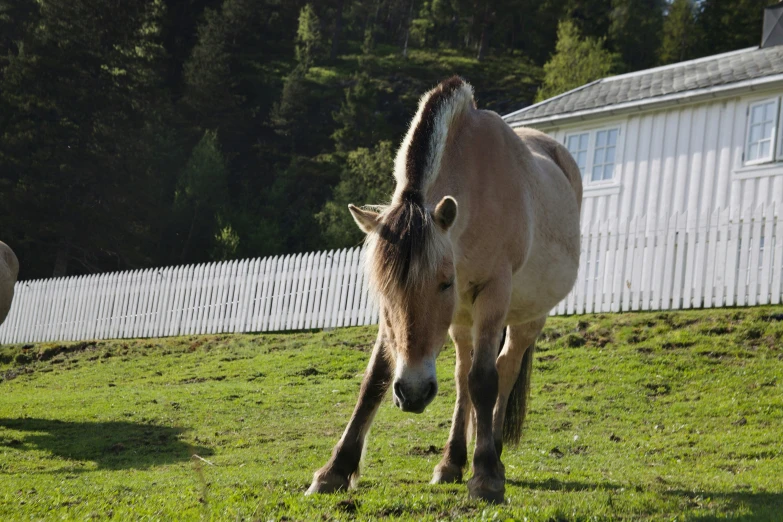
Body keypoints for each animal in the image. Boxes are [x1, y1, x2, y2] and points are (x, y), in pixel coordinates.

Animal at [308, 76, 580, 500]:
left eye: (444, 282)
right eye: (382, 291)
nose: (413, 393)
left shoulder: (494, 292)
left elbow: (485, 381)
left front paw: (486, 476)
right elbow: (375, 379)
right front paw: (336, 469)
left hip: (526, 318)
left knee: (503, 367)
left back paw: (493, 451)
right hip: (461, 321)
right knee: (462, 374)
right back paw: (452, 461)